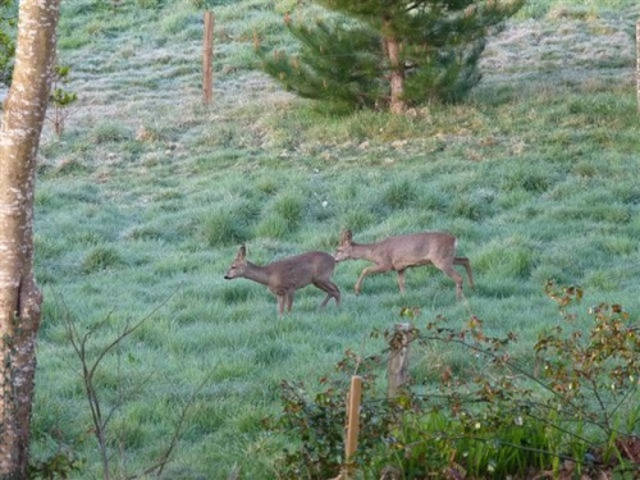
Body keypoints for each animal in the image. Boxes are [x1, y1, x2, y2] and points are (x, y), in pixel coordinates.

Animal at [336, 230, 476, 300]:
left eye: (338, 250)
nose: (334, 259)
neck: (374, 252)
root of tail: (454, 239)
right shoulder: (400, 268)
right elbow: (401, 284)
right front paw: (404, 298)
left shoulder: (386, 263)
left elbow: (365, 269)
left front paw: (357, 290)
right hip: (447, 257)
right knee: (466, 260)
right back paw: (472, 287)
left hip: (440, 259)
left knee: (458, 277)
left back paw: (459, 298)